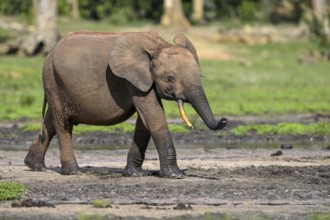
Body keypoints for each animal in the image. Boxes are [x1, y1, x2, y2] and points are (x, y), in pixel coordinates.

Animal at [24, 31, 227, 178]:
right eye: (171, 78)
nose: (224, 120)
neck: (158, 46)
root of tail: (49, 53)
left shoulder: (144, 80)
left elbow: (145, 121)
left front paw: (135, 174)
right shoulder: (131, 79)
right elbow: (153, 115)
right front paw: (175, 175)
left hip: (56, 84)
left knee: (51, 120)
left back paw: (35, 166)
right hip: (53, 79)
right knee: (62, 122)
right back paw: (73, 171)